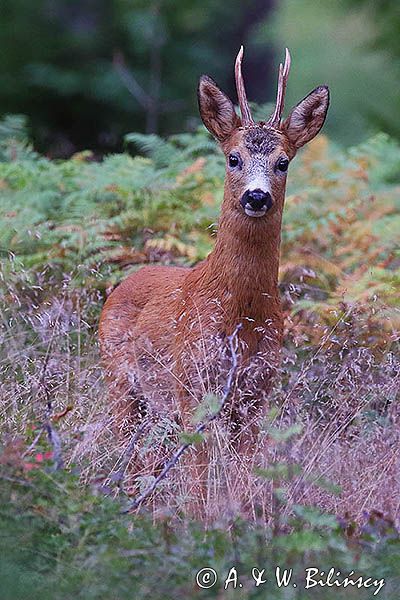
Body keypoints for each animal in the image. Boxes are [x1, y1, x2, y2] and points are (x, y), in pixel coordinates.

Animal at [98, 45, 330, 478]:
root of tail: (122, 284)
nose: (256, 196)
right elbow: (200, 478)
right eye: (233, 157)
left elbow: (242, 476)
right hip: (121, 382)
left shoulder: (258, 390)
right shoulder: (192, 385)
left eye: (284, 162)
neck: (240, 314)